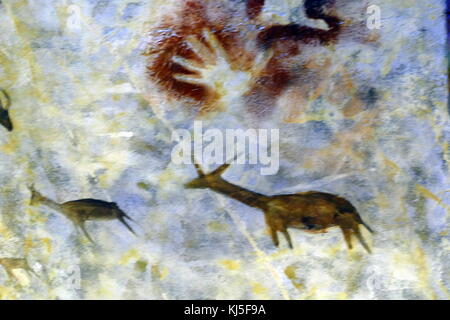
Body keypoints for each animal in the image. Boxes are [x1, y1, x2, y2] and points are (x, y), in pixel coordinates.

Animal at [185, 161, 374, 254]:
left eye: (199, 181)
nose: (187, 185)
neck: (263, 203)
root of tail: (352, 208)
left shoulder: (275, 222)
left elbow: (281, 237)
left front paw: (285, 246)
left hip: (345, 221)